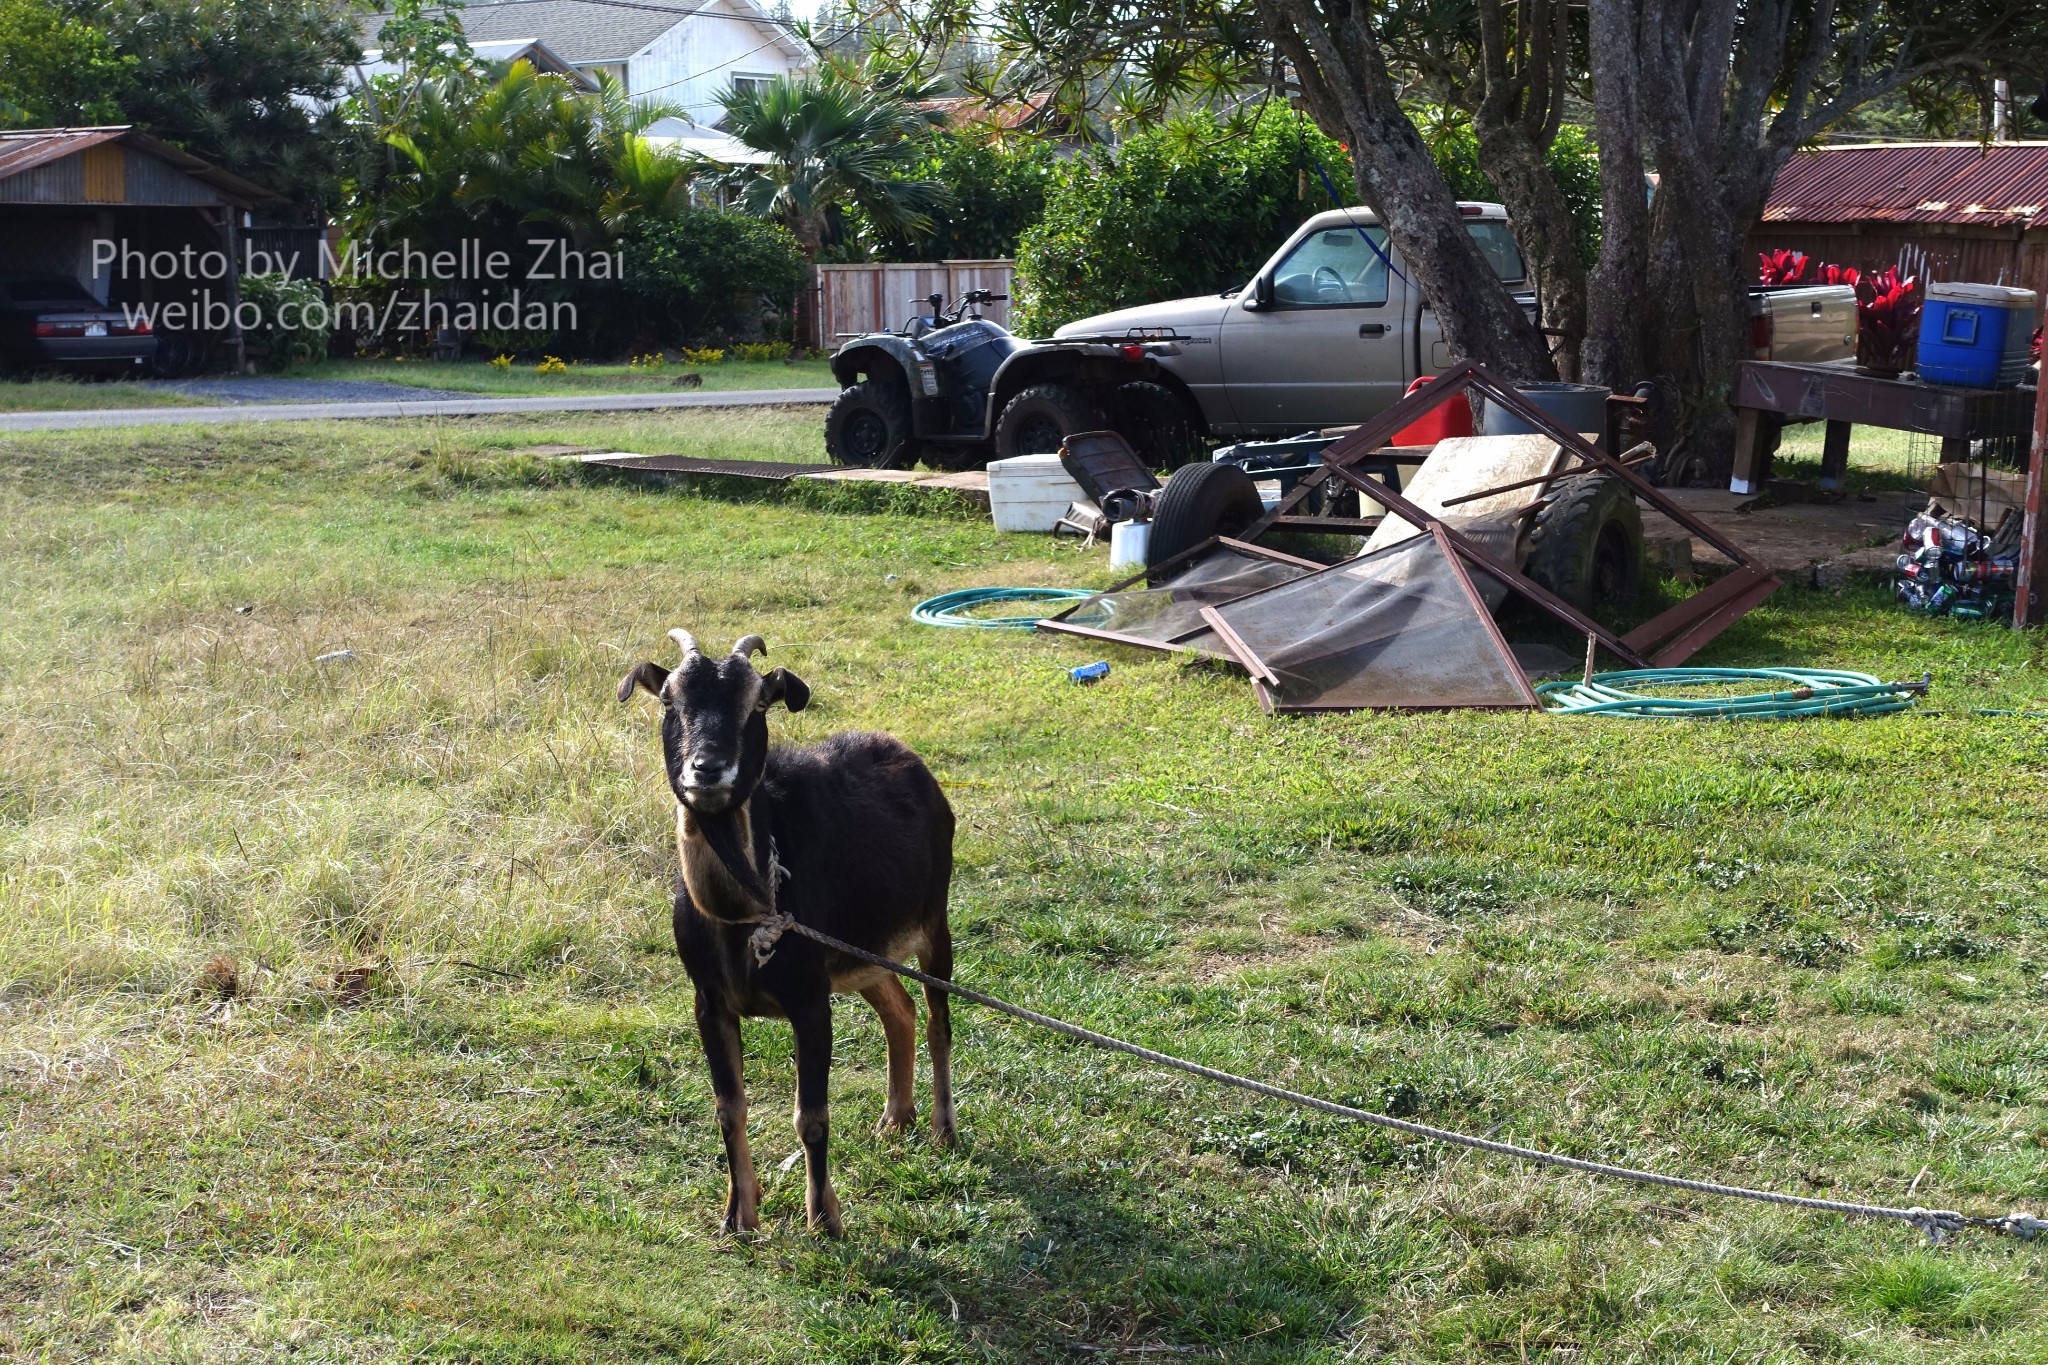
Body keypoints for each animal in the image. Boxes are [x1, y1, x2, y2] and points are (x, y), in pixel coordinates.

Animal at [614, 630, 958, 1236]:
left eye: (756, 704)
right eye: (669, 701)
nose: (708, 770)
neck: (743, 915)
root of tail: (907, 757)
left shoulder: (809, 1000)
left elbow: (812, 1115)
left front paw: (823, 1219)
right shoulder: (709, 1001)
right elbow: (729, 1108)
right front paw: (739, 1216)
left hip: (933, 921)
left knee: (938, 1017)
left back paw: (943, 1128)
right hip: (864, 954)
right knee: (900, 1010)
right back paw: (895, 1118)